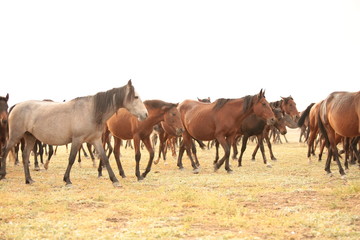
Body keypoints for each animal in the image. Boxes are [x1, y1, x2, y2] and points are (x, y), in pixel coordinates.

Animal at [0, 79, 148, 187]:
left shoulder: (95, 140)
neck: (91, 111)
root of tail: (16, 106)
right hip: (15, 136)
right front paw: (67, 180)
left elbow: (104, 158)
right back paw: (3, 174)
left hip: (30, 137)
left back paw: (29, 179)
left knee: (25, 156)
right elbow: (71, 158)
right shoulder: (77, 139)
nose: (145, 114)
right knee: (6, 151)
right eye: (136, 97)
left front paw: (115, 180)